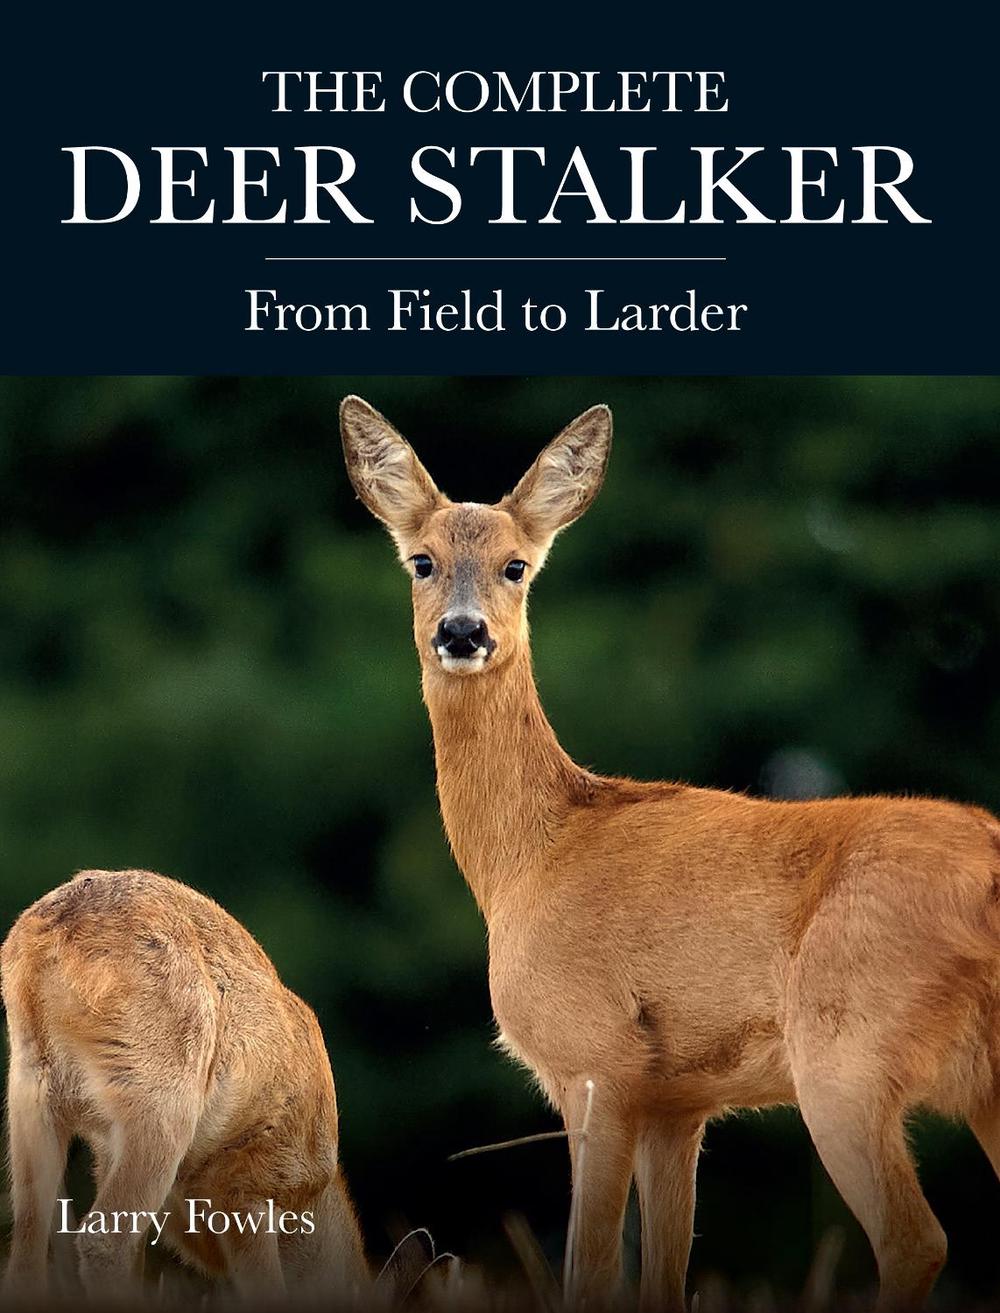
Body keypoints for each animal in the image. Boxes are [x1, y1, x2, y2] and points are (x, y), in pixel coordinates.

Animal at [1, 867, 372, 1302]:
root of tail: (51, 934)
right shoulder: (250, 1183)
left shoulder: (106, 1153)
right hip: (159, 1096)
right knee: (102, 1240)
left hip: (32, 1084)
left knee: (27, 1245)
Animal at [340, 394, 1000, 1313]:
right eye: (422, 560)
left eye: (516, 566)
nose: (462, 633)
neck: (529, 858)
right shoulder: (678, 1101)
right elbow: (662, 1275)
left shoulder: (595, 1059)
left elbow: (589, 1270)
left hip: (847, 1046)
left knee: (915, 1239)